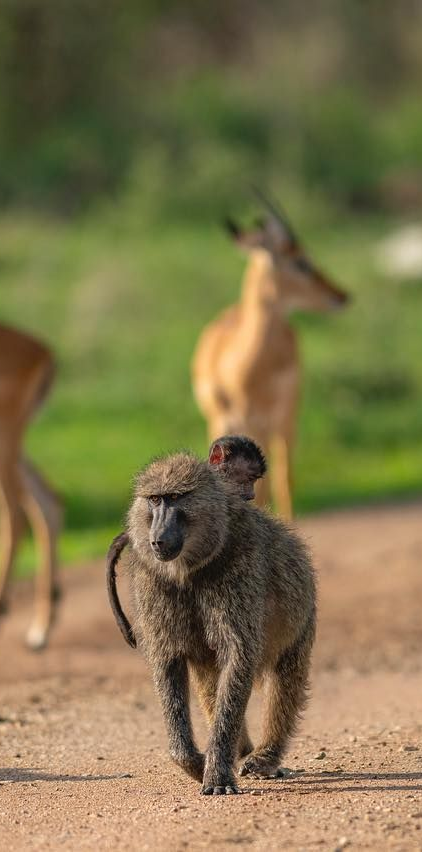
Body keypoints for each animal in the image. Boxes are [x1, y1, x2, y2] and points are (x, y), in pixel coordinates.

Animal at [106, 450, 316, 795]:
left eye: (175, 498)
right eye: (155, 500)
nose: (157, 540)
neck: (190, 570)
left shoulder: (239, 571)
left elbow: (239, 656)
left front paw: (216, 772)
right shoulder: (155, 584)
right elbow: (168, 661)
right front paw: (193, 763)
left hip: (303, 619)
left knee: (285, 675)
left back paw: (263, 757)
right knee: (209, 683)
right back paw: (241, 749)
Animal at [192, 194, 349, 518]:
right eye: (301, 261)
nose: (341, 295)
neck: (243, 369)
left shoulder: (264, 422)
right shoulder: (223, 422)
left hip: (286, 419)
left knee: (284, 477)